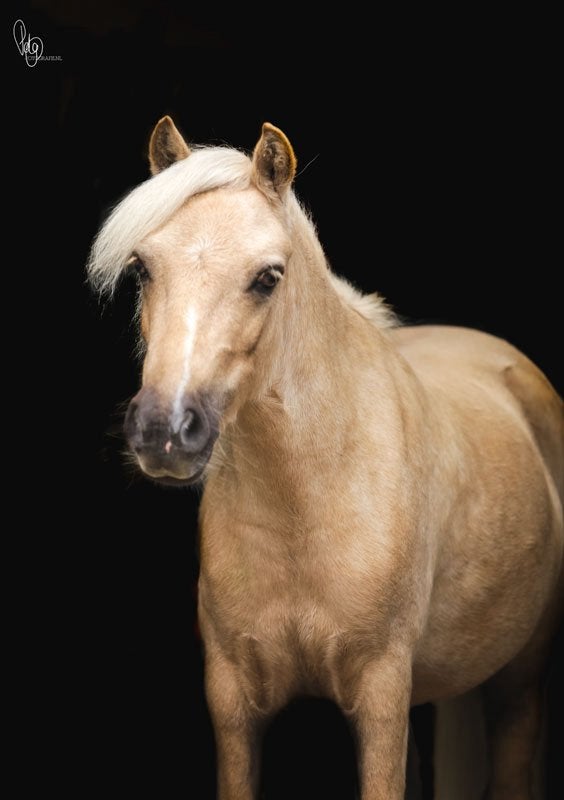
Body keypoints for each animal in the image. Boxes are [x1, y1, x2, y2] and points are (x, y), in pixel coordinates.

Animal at [88, 117, 563, 800]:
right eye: (143, 267)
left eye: (267, 276)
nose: (165, 430)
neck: (307, 503)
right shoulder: (233, 702)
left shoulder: (381, 694)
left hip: (518, 684)